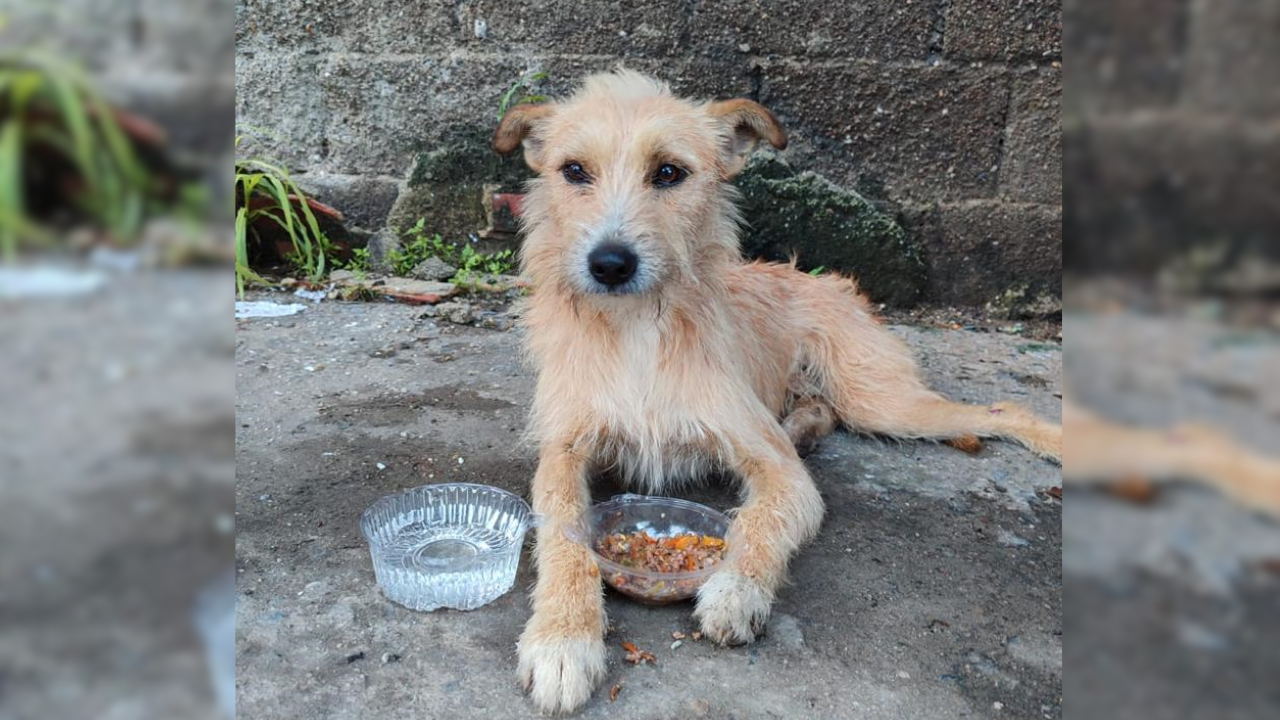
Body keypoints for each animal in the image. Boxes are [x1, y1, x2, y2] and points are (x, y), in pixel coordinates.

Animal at [488, 70, 1059, 707]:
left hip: (883, 400)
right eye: (574, 171)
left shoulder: (775, 466)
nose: (610, 264)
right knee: (822, 408)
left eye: (669, 172)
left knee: (1001, 408)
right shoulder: (563, 449)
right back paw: (803, 425)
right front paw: (564, 636)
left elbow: (759, 521)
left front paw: (735, 590)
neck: (638, 327)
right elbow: (564, 531)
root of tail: (831, 282)